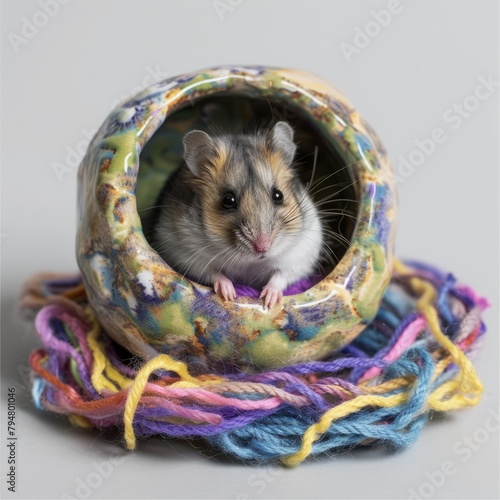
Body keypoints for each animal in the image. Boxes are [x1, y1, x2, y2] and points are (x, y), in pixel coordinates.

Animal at [152, 121, 322, 308]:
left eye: (278, 195)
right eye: (228, 200)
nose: (263, 247)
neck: (251, 262)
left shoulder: (302, 253)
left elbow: (282, 275)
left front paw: (268, 301)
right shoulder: (185, 253)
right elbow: (212, 273)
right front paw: (229, 294)